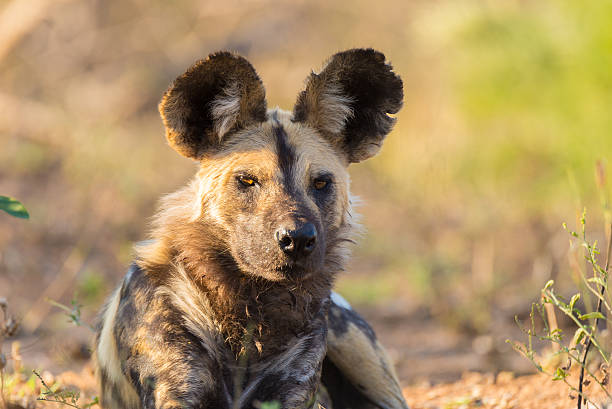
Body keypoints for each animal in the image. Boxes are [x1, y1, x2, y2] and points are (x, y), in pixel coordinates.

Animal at [95, 48, 408, 408]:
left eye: (320, 183)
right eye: (247, 180)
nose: (297, 239)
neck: (249, 307)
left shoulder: (294, 392)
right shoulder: (175, 391)